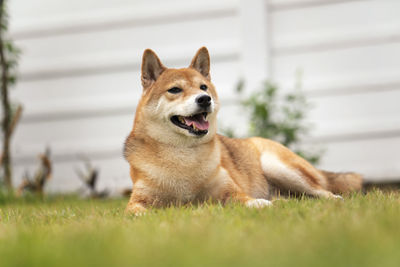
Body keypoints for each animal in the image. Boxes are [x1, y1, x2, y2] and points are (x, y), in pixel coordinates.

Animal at [122, 47, 362, 216]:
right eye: (174, 90)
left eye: (203, 87)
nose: (205, 99)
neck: (184, 157)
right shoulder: (137, 201)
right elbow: (137, 212)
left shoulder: (230, 191)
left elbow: (245, 199)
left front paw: (260, 203)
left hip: (279, 167)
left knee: (322, 192)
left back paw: (334, 201)